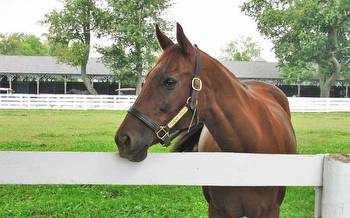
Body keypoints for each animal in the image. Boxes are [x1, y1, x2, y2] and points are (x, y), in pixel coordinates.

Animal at [115, 23, 296, 217]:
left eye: (170, 81)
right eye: (145, 80)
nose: (123, 139)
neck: (243, 159)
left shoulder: (271, 211)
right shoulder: (217, 209)